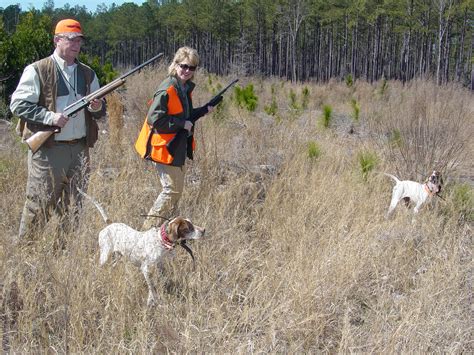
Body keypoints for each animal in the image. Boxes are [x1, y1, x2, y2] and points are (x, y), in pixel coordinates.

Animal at [77, 188, 205, 308]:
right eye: (188, 228)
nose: (203, 230)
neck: (161, 240)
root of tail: (110, 224)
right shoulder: (146, 269)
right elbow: (152, 288)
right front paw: (153, 302)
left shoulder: (159, 266)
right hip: (105, 255)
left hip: (117, 256)